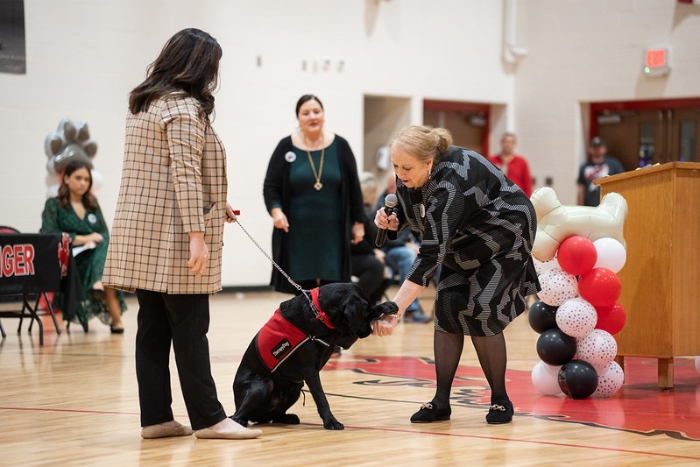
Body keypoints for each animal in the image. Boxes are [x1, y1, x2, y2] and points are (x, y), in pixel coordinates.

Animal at [232, 282, 396, 432]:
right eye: (363, 315)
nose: (369, 331)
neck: (318, 311)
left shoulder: (343, 338)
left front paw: (386, 306)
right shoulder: (310, 371)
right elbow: (321, 398)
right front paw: (331, 421)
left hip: (296, 386)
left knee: (275, 415)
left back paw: (287, 417)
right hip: (262, 385)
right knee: (238, 414)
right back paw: (239, 421)